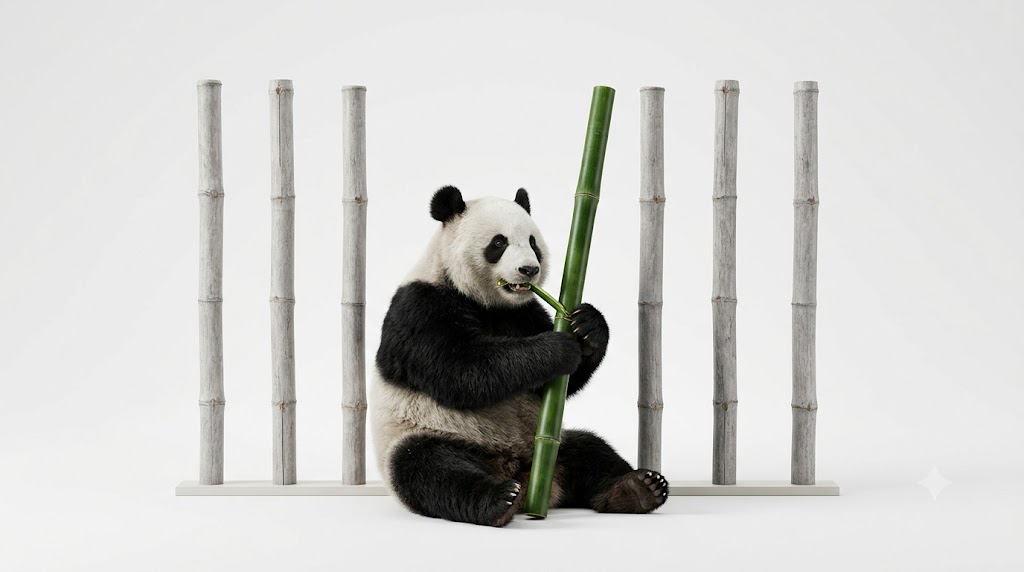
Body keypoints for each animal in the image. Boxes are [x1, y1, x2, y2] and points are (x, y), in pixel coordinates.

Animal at [371, 185, 668, 527]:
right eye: (498, 243)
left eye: (532, 242)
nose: (529, 270)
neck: (484, 300)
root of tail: (525, 478)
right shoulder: (421, 309)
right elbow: (460, 372)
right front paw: (558, 348)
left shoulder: (523, 310)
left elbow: (557, 383)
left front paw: (587, 325)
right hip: (425, 434)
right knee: (429, 470)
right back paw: (498, 500)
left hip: (554, 443)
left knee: (591, 451)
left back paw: (637, 488)